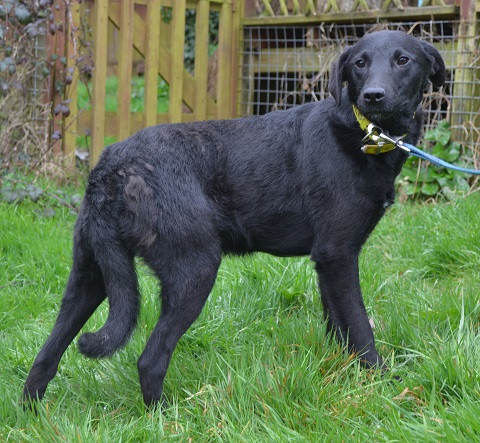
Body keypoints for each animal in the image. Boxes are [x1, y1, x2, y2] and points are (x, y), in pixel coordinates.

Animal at [23, 29, 446, 408]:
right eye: (360, 63)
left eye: (403, 60)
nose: (373, 95)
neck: (364, 133)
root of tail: (111, 169)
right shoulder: (338, 254)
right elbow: (359, 327)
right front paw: (384, 386)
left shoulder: (326, 261)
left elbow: (338, 326)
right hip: (194, 269)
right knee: (149, 359)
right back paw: (166, 417)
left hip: (91, 276)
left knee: (45, 357)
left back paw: (32, 414)